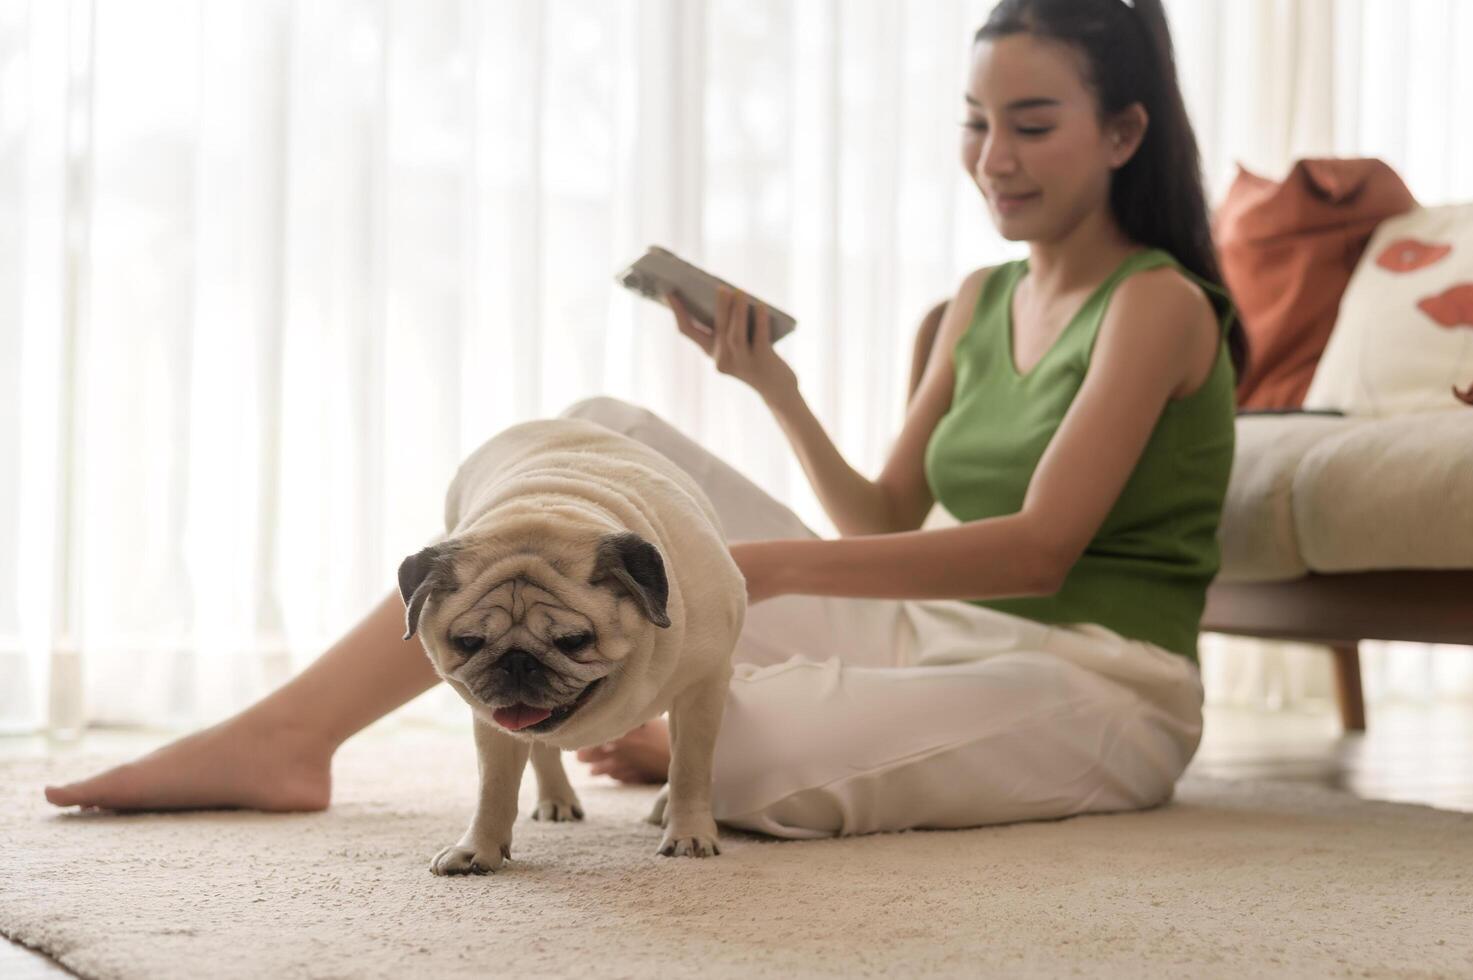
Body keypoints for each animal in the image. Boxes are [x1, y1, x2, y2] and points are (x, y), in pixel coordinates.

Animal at [397, 412, 742, 872]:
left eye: (574, 641)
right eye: (469, 642)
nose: (517, 661)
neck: (550, 504)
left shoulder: (702, 687)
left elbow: (690, 768)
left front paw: (688, 833)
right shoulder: (493, 725)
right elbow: (495, 786)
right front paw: (478, 849)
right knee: (542, 750)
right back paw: (556, 799)